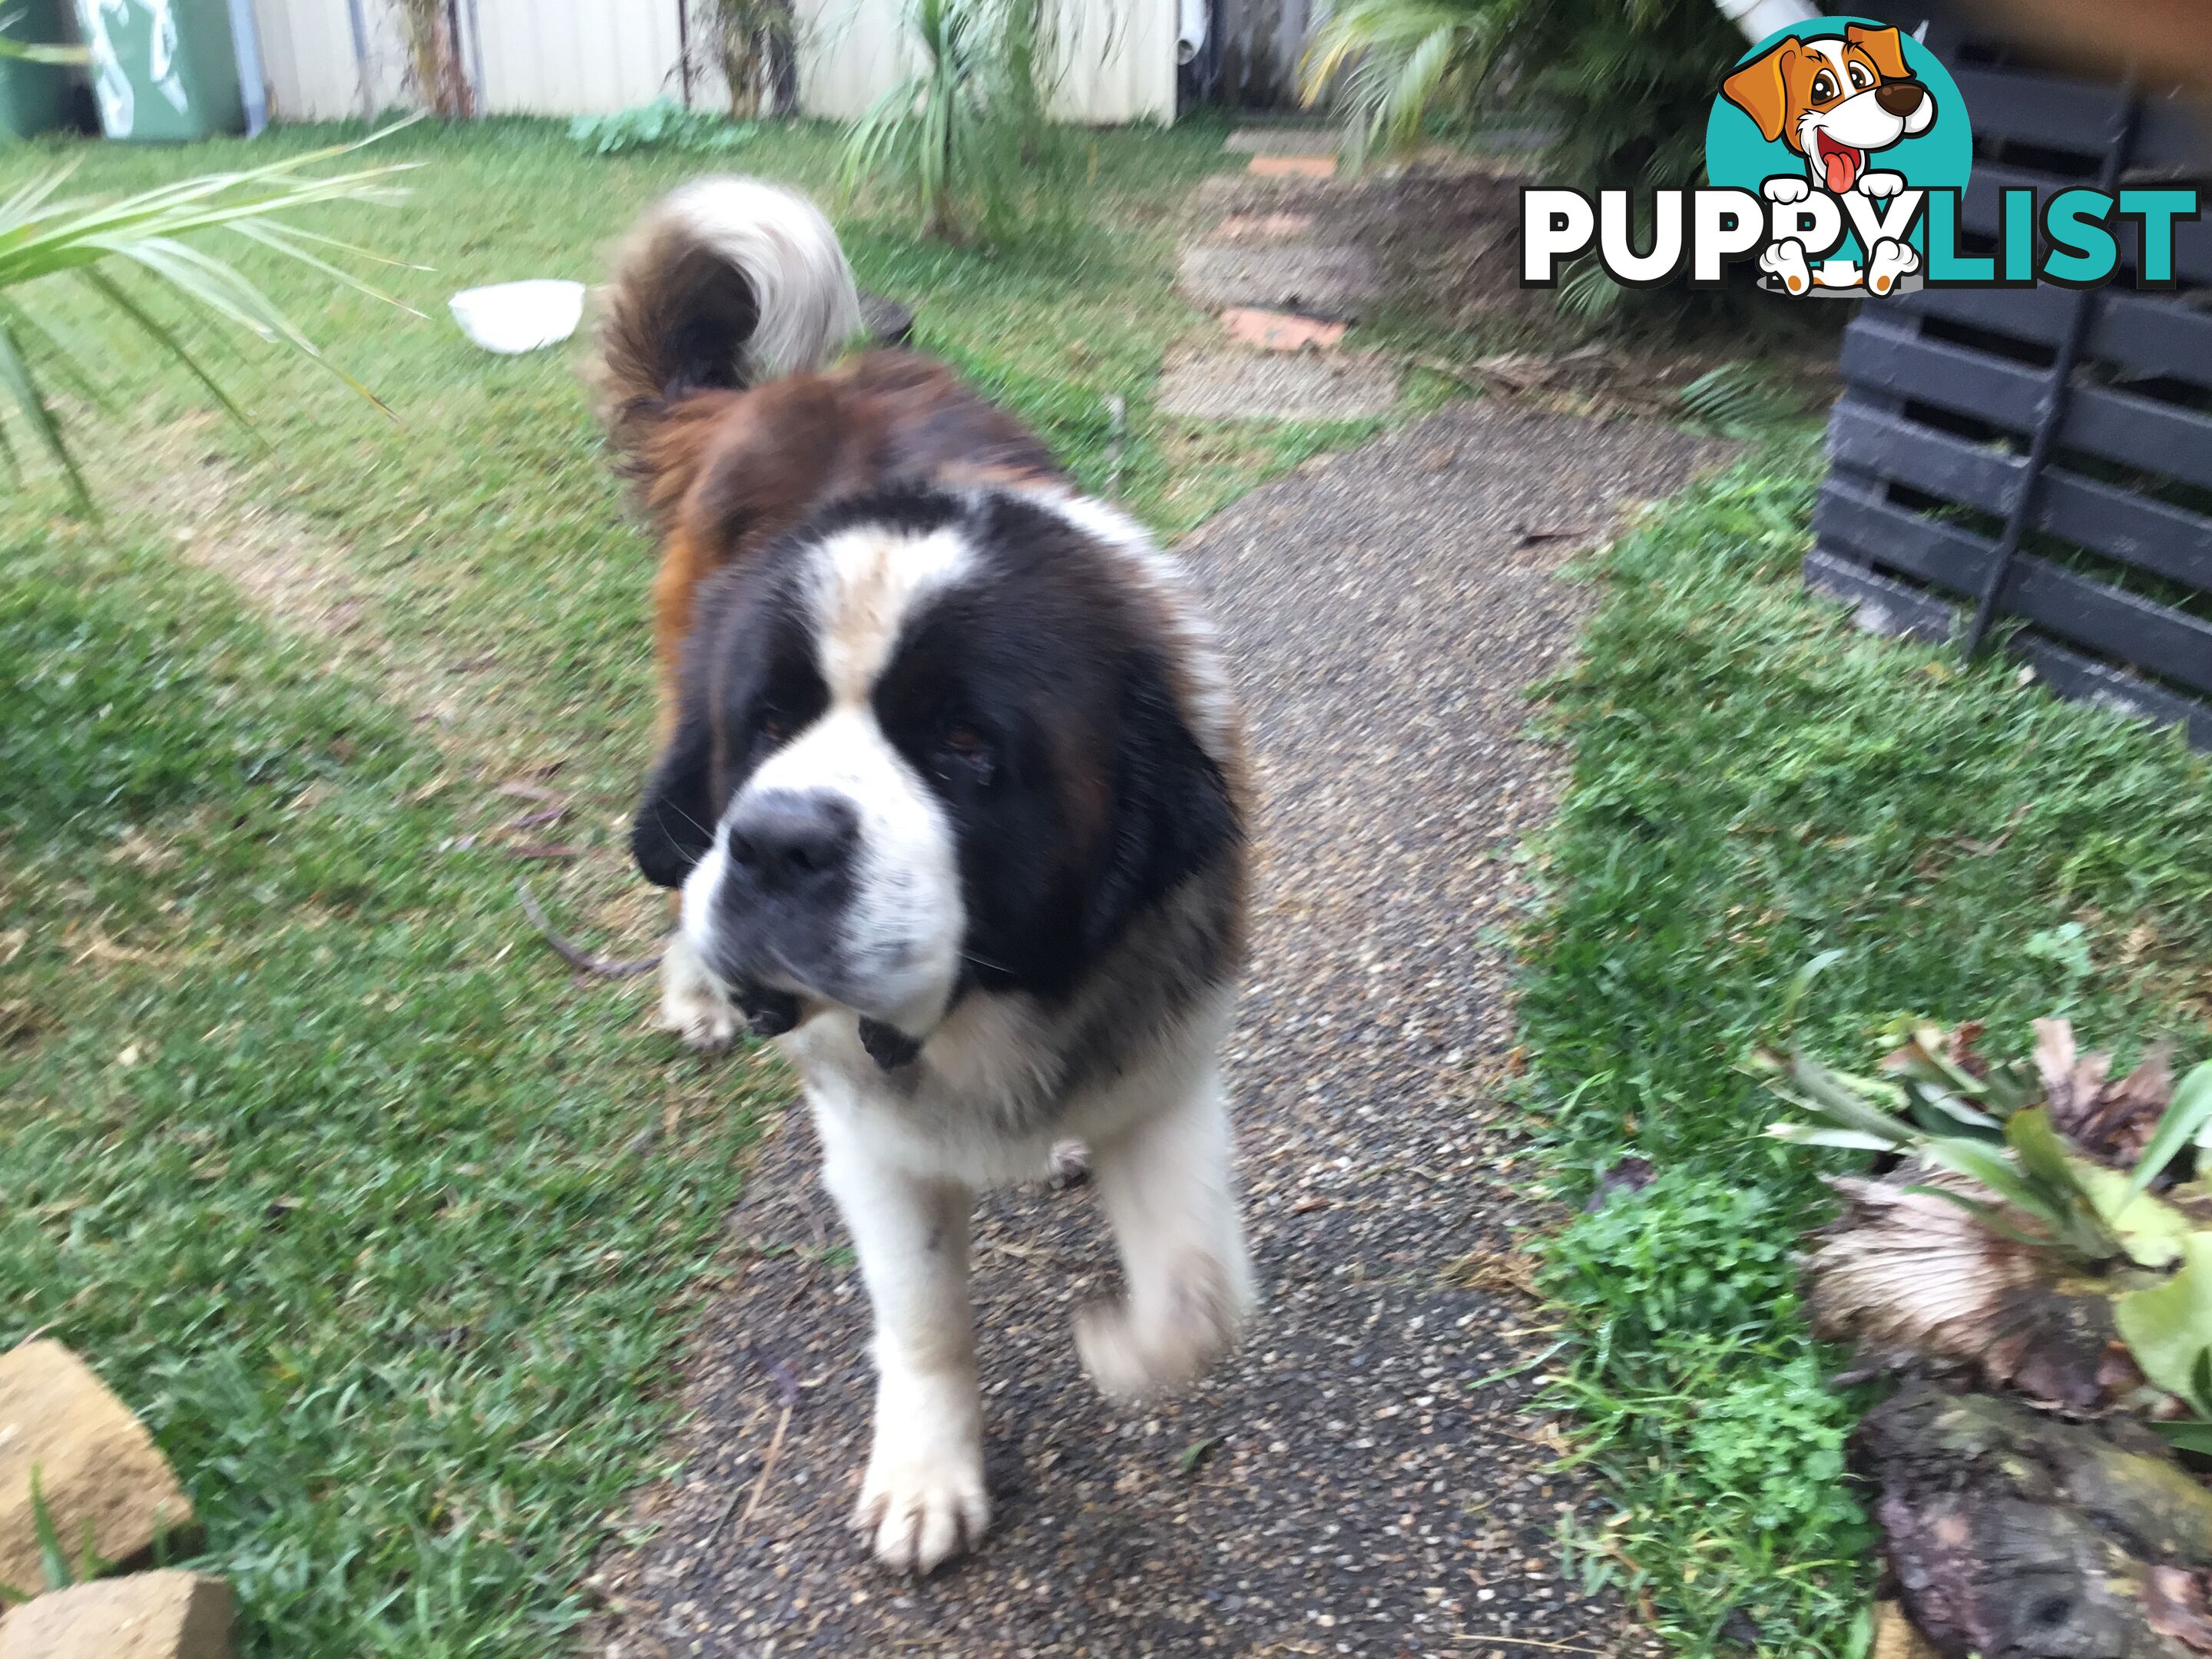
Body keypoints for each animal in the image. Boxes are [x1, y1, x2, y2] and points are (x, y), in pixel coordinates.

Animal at [597, 187, 1256, 1575]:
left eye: (964, 750)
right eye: (767, 725)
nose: (780, 841)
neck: (983, 1003)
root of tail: (782, 392)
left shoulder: (1169, 1047)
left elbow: (1198, 1299)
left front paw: (1116, 1341)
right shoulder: (867, 1131)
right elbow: (923, 1311)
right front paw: (926, 1469)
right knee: (672, 870)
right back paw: (694, 990)